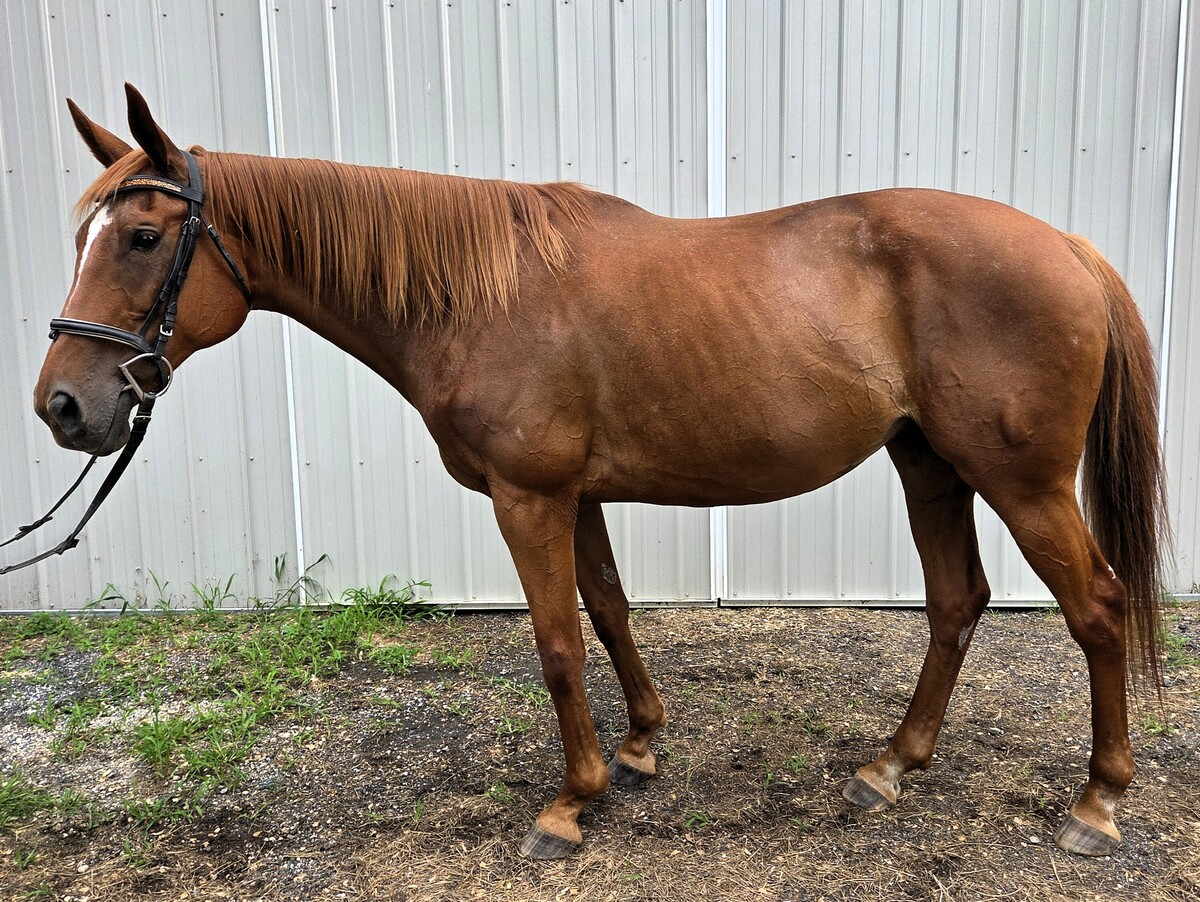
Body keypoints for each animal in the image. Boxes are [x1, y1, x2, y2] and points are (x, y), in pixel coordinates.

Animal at [32, 84, 1165, 859]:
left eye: (143, 236)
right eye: (82, 234)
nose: (63, 406)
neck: (476, 294)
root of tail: (1065, 245)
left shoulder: (528, 497)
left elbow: (557, 644)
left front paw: (569, 803)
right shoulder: (574, 497)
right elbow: (611, 611)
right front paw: (641, 747)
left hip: (1022, 483)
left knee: (1098, 608)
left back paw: (1098, 801)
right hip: (928, 461)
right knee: (955, 600)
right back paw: (891, 765)